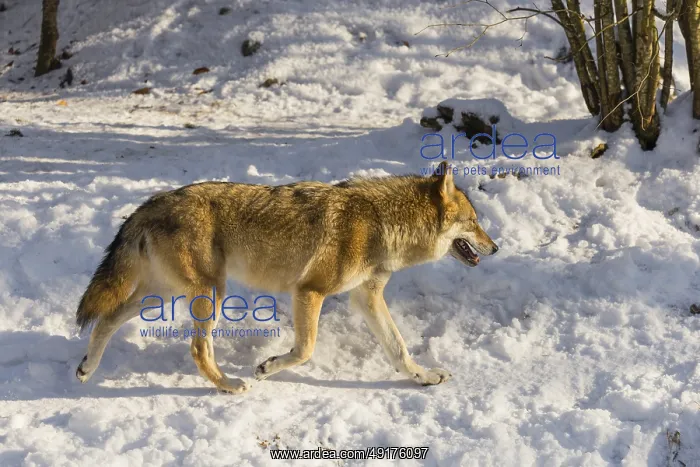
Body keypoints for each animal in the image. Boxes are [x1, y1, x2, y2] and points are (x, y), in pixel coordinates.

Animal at [75, 161, 499, 393]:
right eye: (475, 223)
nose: (496, 247)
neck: (381, 222)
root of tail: (150, 203)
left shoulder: (366, 297)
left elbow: (399, 349)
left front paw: (424, 377)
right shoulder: (309, 292)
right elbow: (305, 350)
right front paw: (265, 367)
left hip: (165, 294)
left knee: (106, 319)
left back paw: (86, 369)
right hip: (209, 293)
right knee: (197, 349)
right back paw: (230, 387)